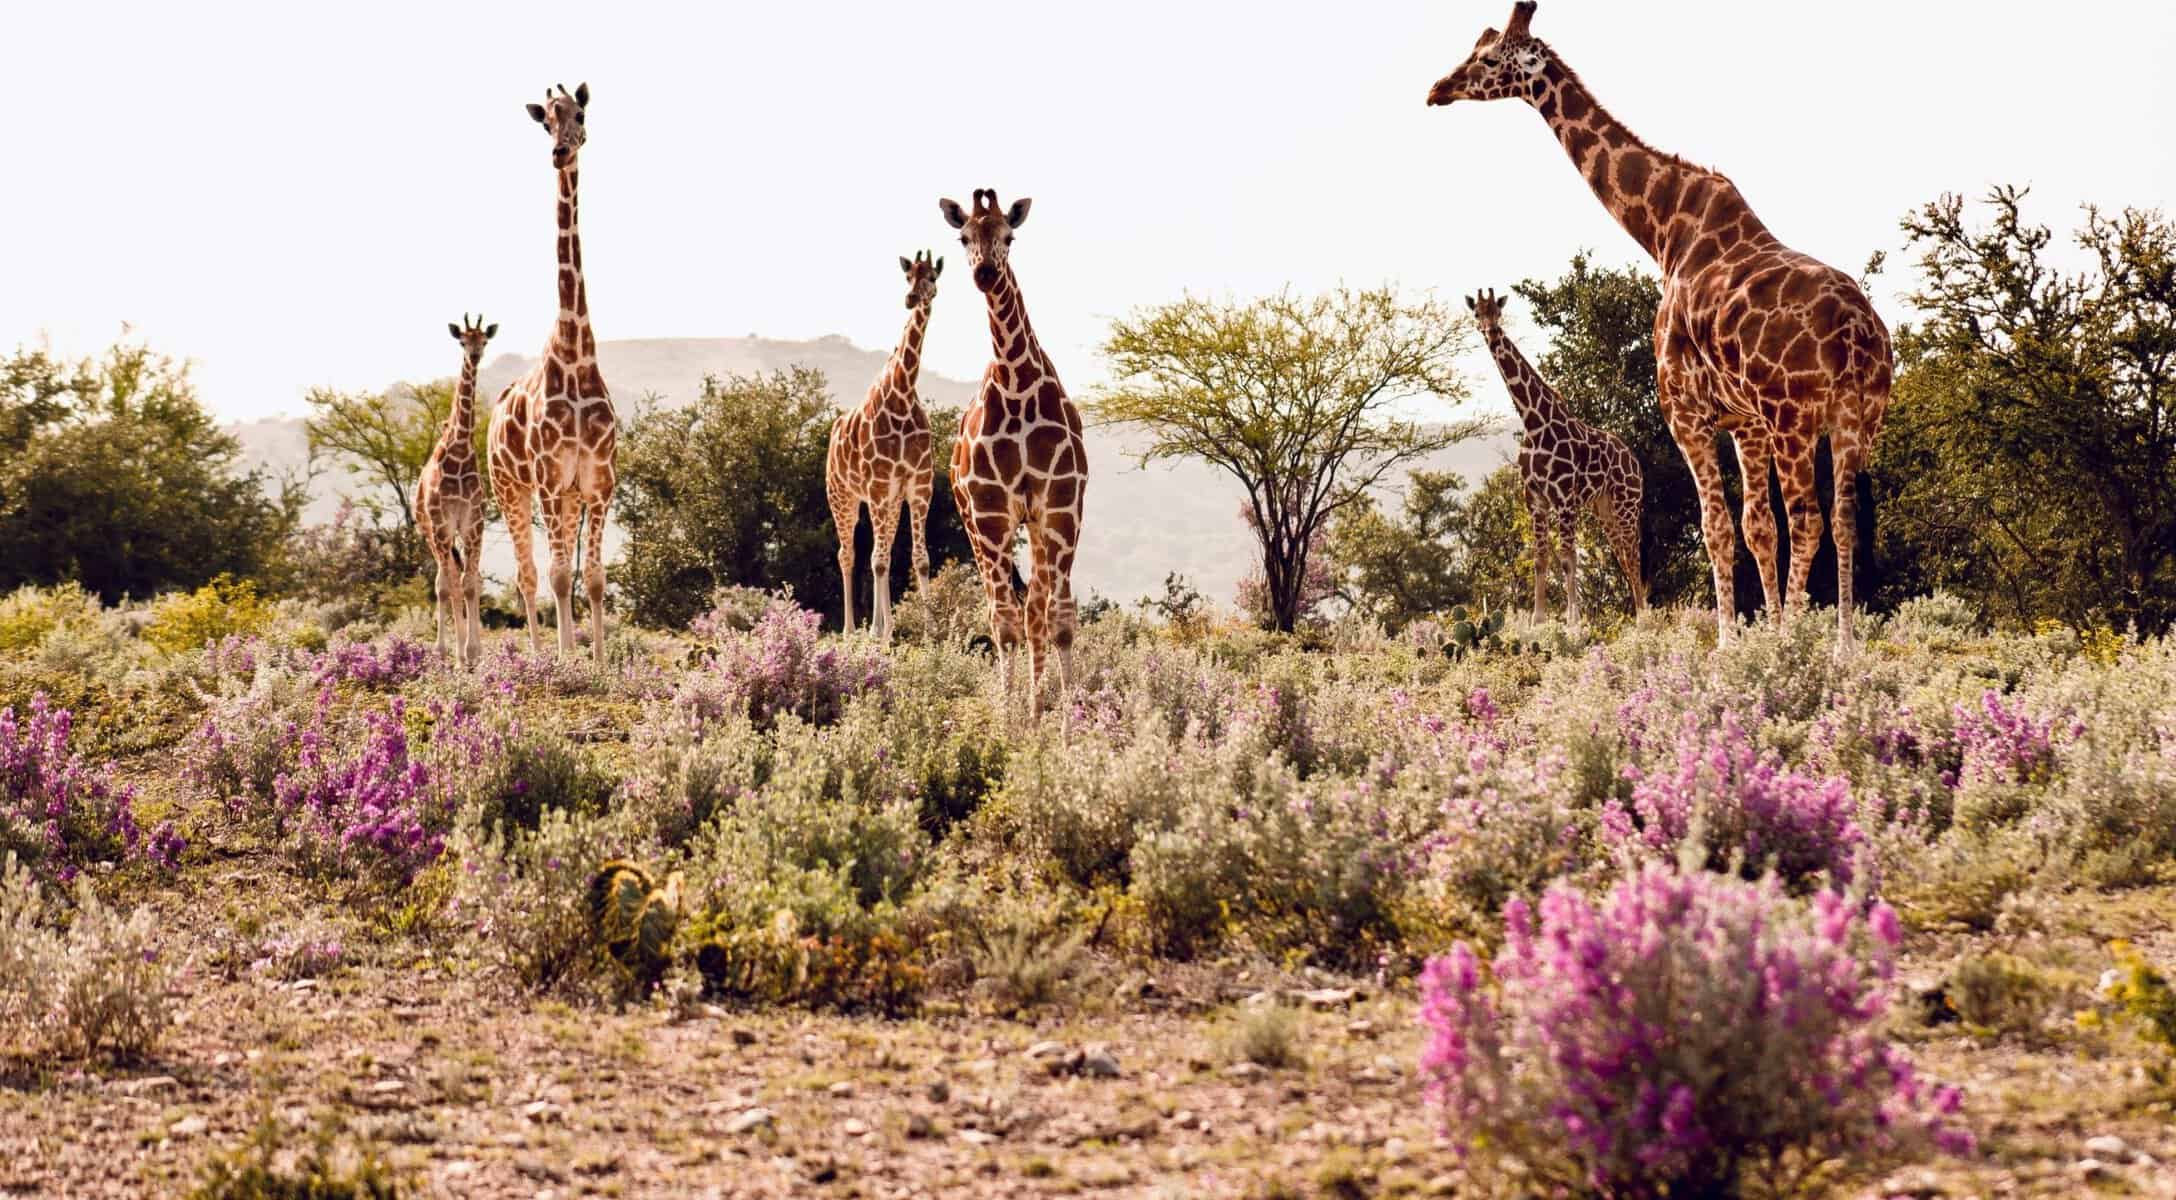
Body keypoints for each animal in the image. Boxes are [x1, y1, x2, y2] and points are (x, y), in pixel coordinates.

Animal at [826, 251, 942, 640]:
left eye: (932, 276)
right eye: (907, 276)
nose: (911, 299)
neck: (903, 393)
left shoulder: (918, 484)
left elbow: (919, 560)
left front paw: (931, 632)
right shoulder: (877, 484)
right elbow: (876, 560)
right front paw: (881, 634)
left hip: (889, 501)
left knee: (884, 551)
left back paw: (879, 626)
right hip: (843, 497)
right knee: (848, 555)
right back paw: (852, 630)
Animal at [938, 189, 1088, 714]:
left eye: (1009, 236)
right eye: (964, 237)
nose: (985, 273)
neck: (1016, 383)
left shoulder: (1060, 506)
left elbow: (1058, 620)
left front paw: (1063, 722)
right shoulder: (990, 512)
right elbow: (1003, 624)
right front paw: (1009, 719)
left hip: (1037, 528)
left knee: (1037, 609)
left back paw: (1038, 705)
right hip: (974, 527)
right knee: (1006, 610)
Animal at [1467, 288, 1645, 624]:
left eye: (1498, 310)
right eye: (1477, 313)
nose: (1492, 331)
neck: (1533, 422)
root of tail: (1634, 461)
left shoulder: (1564, 498)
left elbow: (1567, 558)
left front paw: (1572, 619)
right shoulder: (1535, 499)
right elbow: (1540, 559)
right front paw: (1537, 620)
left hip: (1627, 503)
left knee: (1632, 553)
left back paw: (1645, 617)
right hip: (1604, 509)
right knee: (1622, 555)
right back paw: (1640, 615)